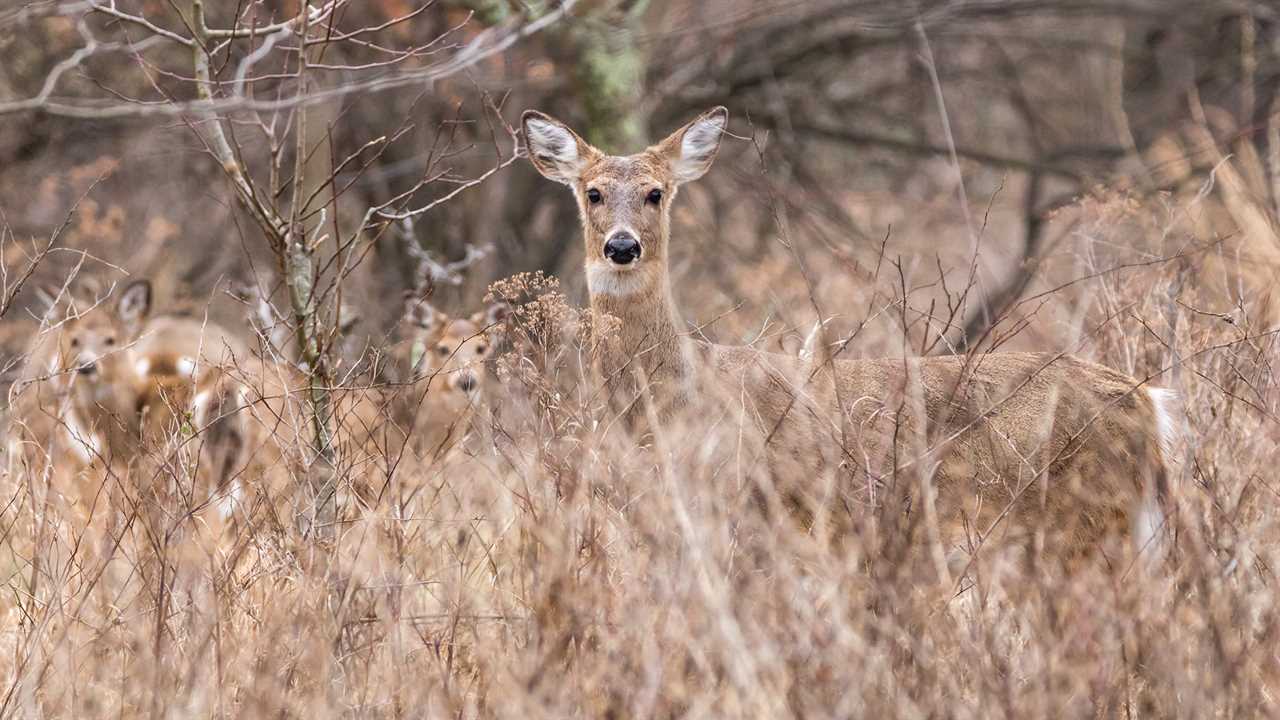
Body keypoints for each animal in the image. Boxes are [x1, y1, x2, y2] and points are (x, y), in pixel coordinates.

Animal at [522, 105, 1177, 571]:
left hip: (1086, 519)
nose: (622, 246)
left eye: (656, 192)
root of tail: (1147, 402)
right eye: (593, 192)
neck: (676, 389)